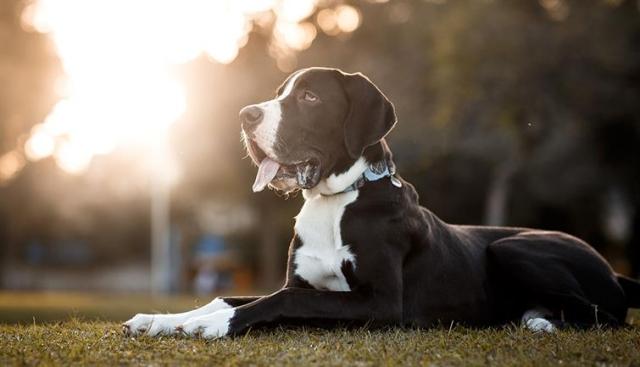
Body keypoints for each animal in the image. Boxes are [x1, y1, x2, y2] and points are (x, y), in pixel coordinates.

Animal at [122, 67, 636, 340]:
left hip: (513, 247)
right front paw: (162, 319)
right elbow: (233, 293)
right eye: (278, 93)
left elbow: (279, 299)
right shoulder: (305, 284)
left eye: (309, 97)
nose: (245, 115)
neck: (336, 200)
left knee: (606, 317)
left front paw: (217, 325)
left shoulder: (383, 303)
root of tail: (616, 272)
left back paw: (542, 323)